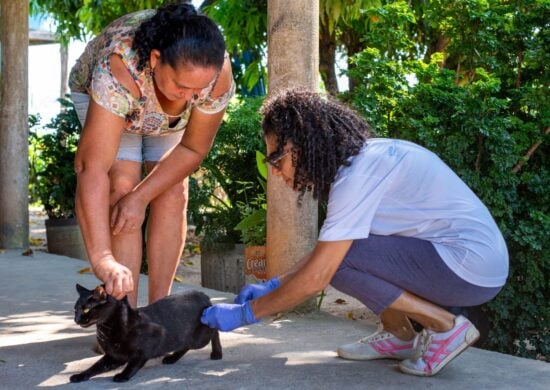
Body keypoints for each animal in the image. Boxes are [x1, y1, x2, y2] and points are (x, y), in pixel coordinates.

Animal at [70, 284, 223, 382]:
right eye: (75, 309)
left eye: (86, 309)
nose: (76, 319)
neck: (106, 330)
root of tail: (203, 295)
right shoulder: (114, 356)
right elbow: (95, 366)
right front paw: (79, 375)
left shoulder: (143, 350)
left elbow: (133, 364)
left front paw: (123, 376)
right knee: (184, 345)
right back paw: (172, 358)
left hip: (199, 339)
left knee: (214, 331)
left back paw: (217, 353)